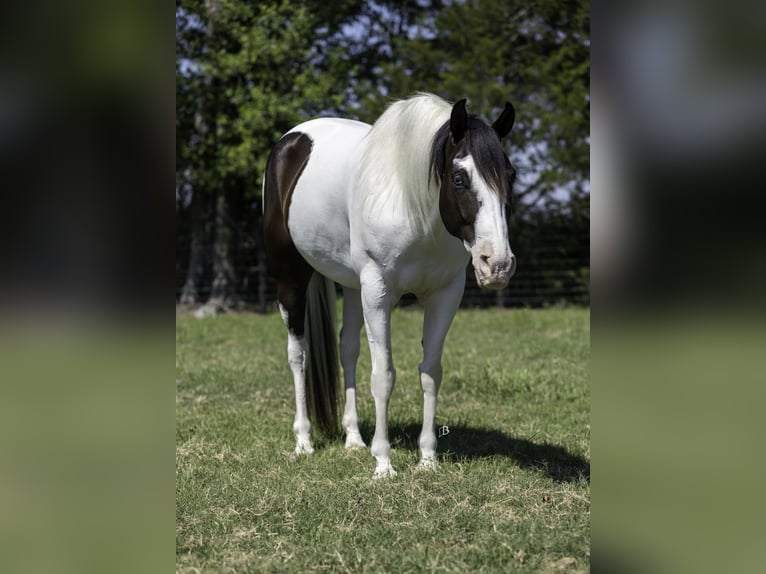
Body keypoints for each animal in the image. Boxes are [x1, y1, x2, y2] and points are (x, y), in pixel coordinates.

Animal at [266, 94, 520, 480]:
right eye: (459, 177)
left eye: (511, 176)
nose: (498, 265)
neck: (413, 206)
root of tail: (292, 140)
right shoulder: (378, 292)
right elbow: (383, 375)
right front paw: (383, 464)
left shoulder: (445, 295)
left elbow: (430, 372)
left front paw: (427, 458)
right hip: (292, 278)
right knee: (299, 354)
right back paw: (304, 442)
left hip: (352, 286)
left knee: (348, 348)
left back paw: (354, 439)